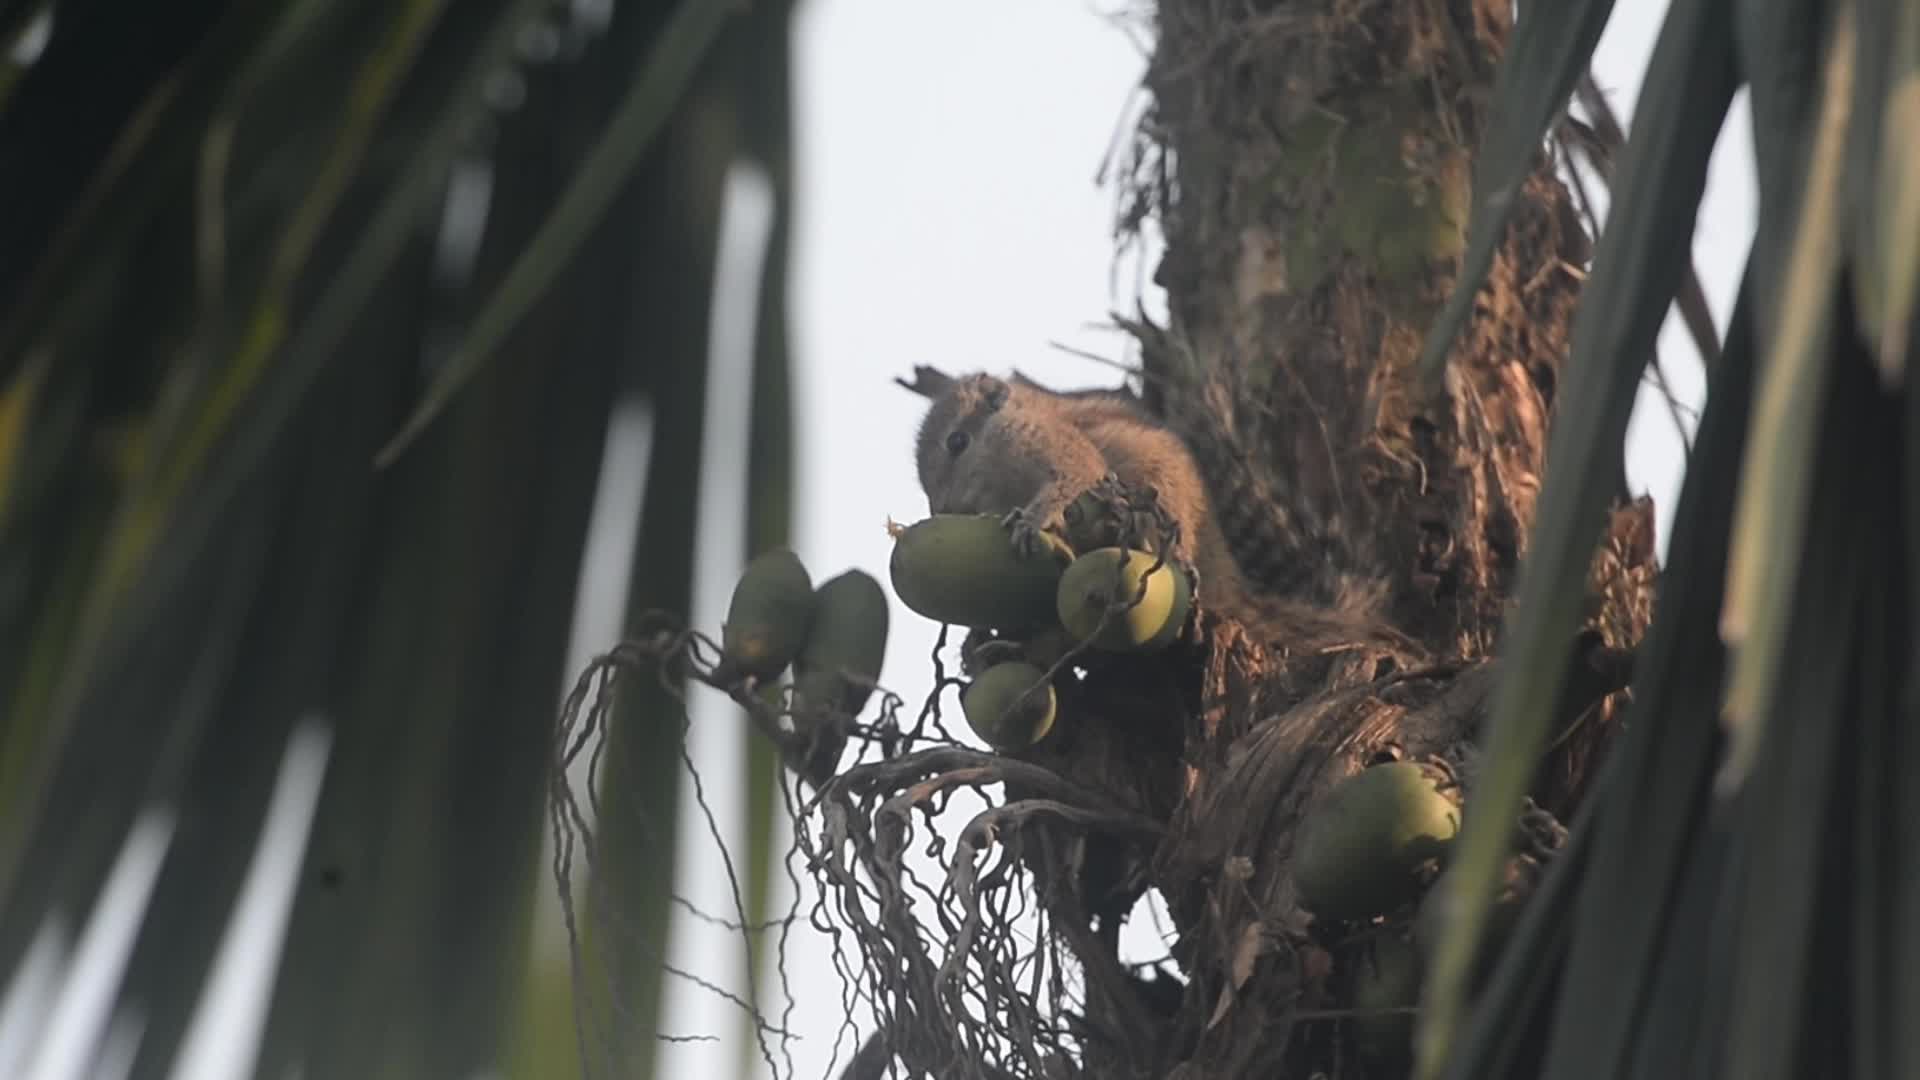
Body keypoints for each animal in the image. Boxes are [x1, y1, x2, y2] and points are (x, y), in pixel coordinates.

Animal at [902, 366, 1414, 658]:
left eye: (957, 442)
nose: (943, 509)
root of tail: (1226, 578)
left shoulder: (1067, 455)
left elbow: (1067, 485)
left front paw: (1032, 521)